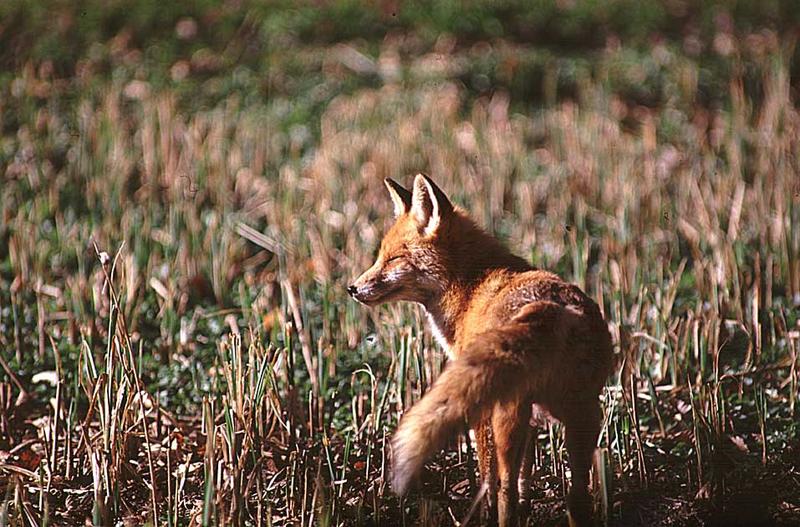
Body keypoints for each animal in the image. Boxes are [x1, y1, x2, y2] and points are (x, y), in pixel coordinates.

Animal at [346, 175, 616, 524]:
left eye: (393, 259)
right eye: (379, 256)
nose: (352, 288)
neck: (469, 288)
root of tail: (551, 306)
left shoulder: (481, 411)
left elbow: (490, 477)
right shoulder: (532, 418)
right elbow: (527, 474)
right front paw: (528, 507)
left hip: (508, 416)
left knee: (504, 490)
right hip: (582, 413)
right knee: (577, 495)